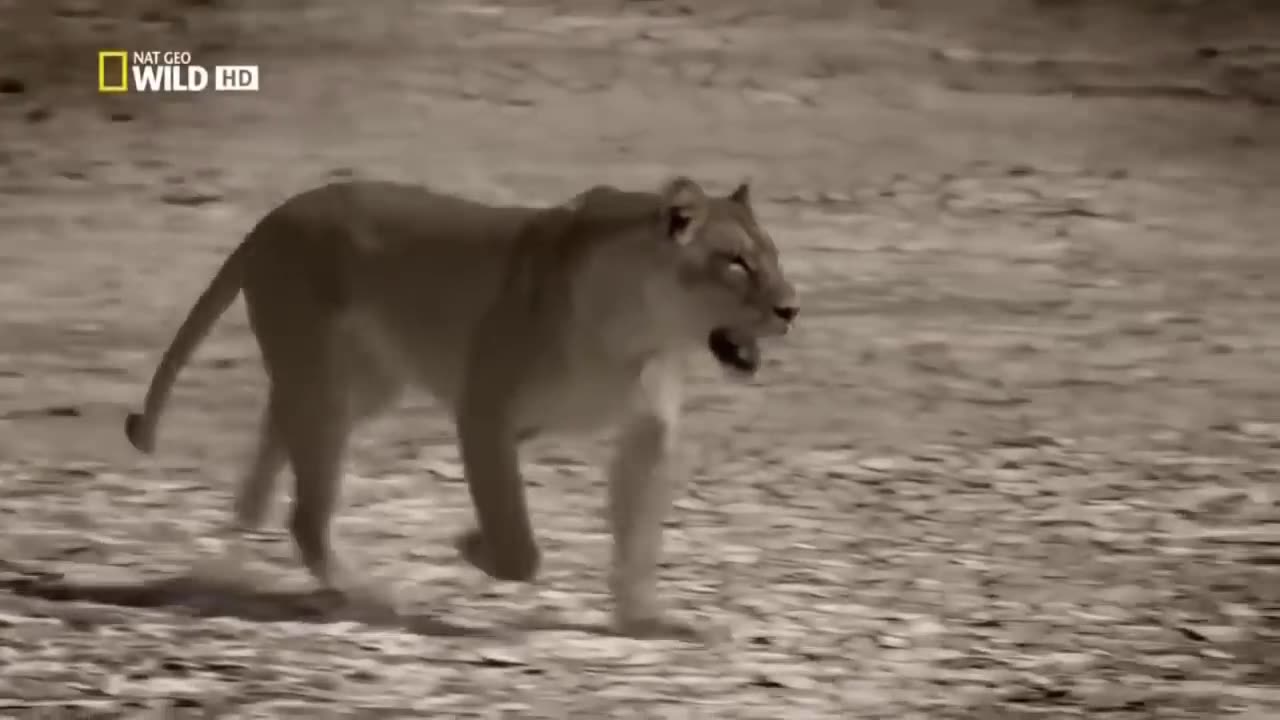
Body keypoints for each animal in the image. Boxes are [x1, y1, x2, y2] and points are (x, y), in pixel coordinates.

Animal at [123, 176, 798, 638]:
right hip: (324, 387)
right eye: (737, 262)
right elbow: (518, 541)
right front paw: (471, 544)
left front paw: (646, 620)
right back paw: (374, 595)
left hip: (358, 385)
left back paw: (235, 551)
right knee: (307, 514)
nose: (792, 308)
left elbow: (636, 542)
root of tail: (274, 215)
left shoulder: (648, 433)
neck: (639, 331)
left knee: (274, 437)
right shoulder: (483, 413)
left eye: (773, 256)